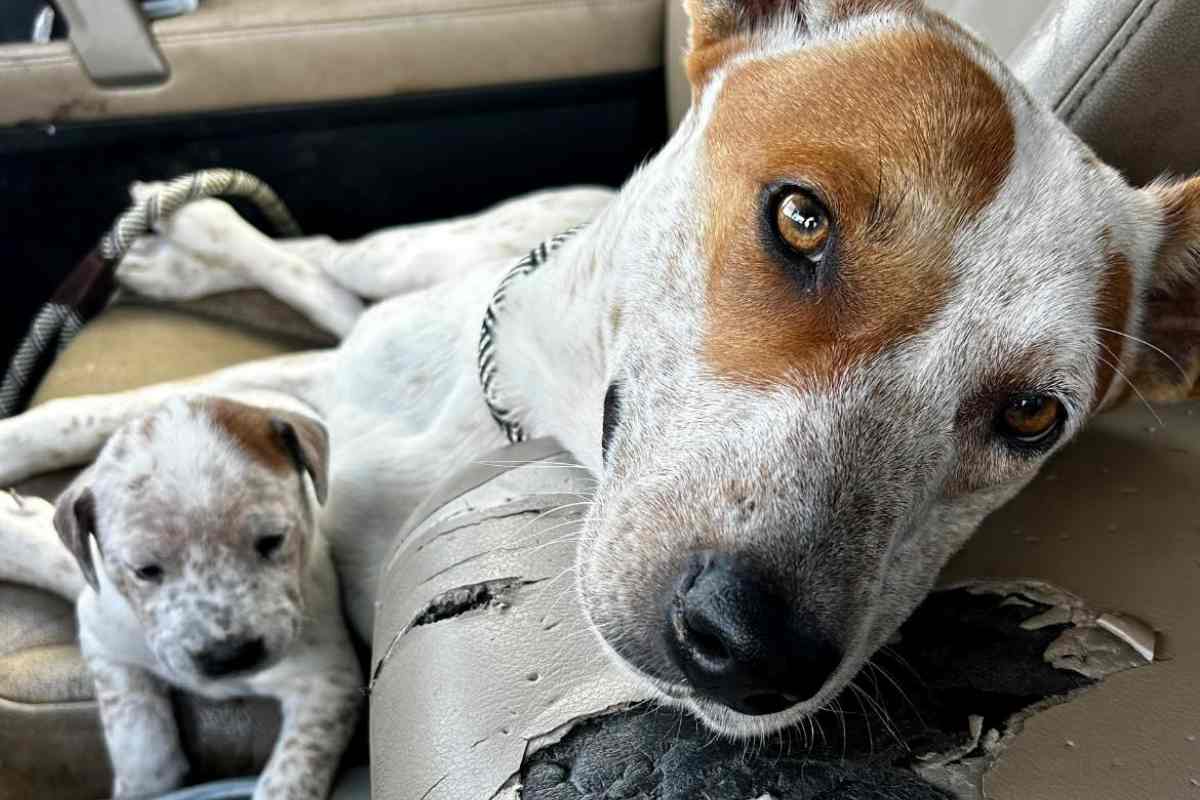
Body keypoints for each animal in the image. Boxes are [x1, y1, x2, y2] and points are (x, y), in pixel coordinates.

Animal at [0, 395, 360, 800]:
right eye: (145, 570)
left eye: (272, 540)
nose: (229, 655)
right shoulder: (105, 644)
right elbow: (140, 746)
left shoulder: (326, 682)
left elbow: (290, 775)